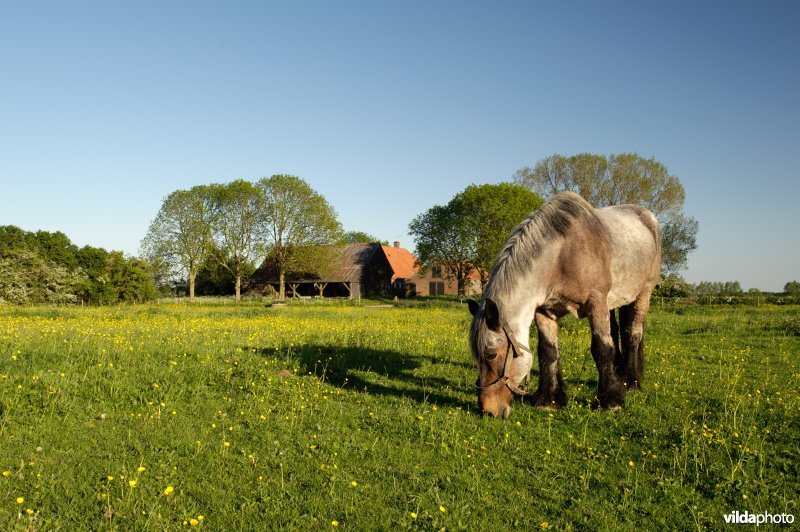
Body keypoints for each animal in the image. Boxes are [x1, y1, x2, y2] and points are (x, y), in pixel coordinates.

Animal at [468, 191, 661, 418]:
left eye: (491, 354)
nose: (488, 410)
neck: (563, 253)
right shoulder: (545, 311)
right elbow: (548, 350)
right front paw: (549, 399)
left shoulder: (596, 302)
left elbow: (602, 349)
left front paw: (611, 401)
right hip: (613, 302)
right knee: (616, 332)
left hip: (643, 294)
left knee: (633, 333)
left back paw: (631, 381)